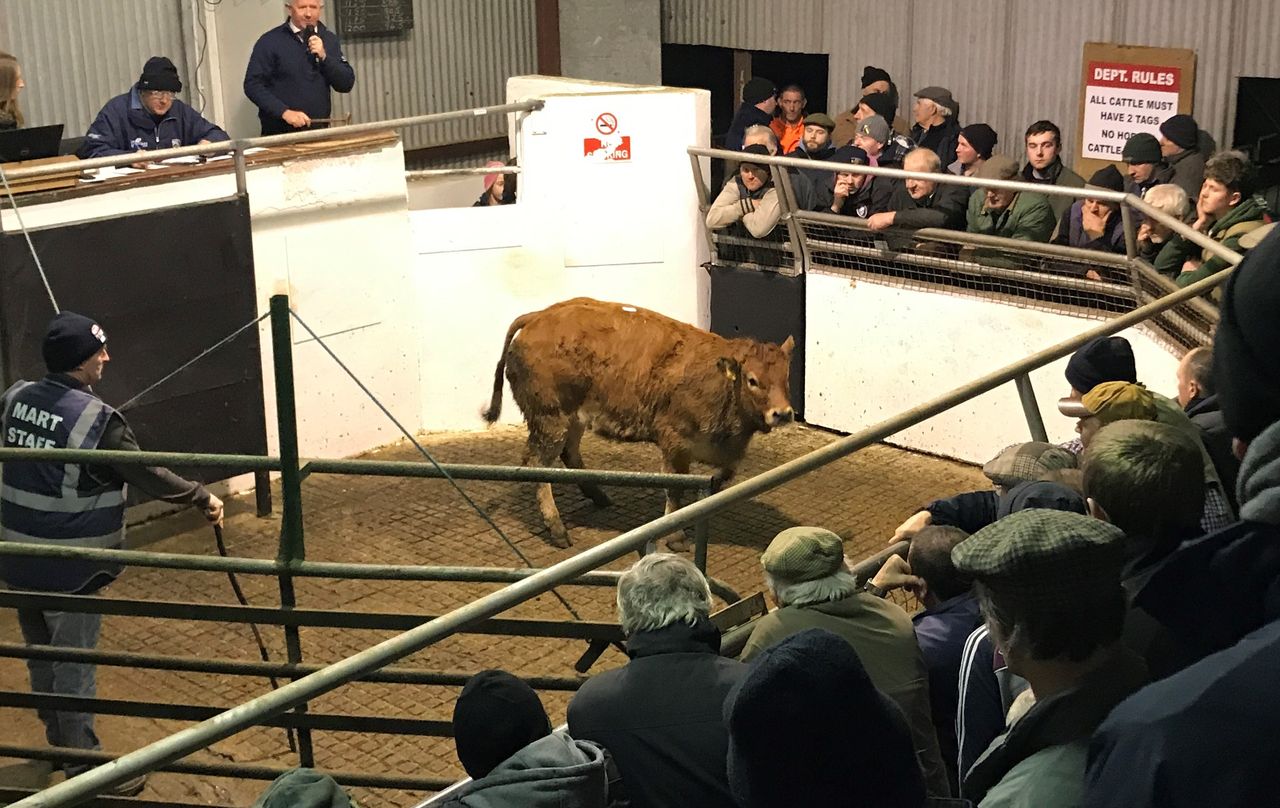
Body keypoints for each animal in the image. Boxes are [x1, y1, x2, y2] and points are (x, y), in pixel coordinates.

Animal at [482, 297, 794, 549]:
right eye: (752, 380)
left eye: (786, 377)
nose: (783, 413)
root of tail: (537, 317)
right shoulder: (675, 444)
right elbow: (675, 491)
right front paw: (676, 536)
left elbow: (715, 484)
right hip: (550, 419)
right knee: (539, 466)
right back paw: (557, 529)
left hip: (573, 418)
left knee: (569, 453)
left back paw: (598, 495)